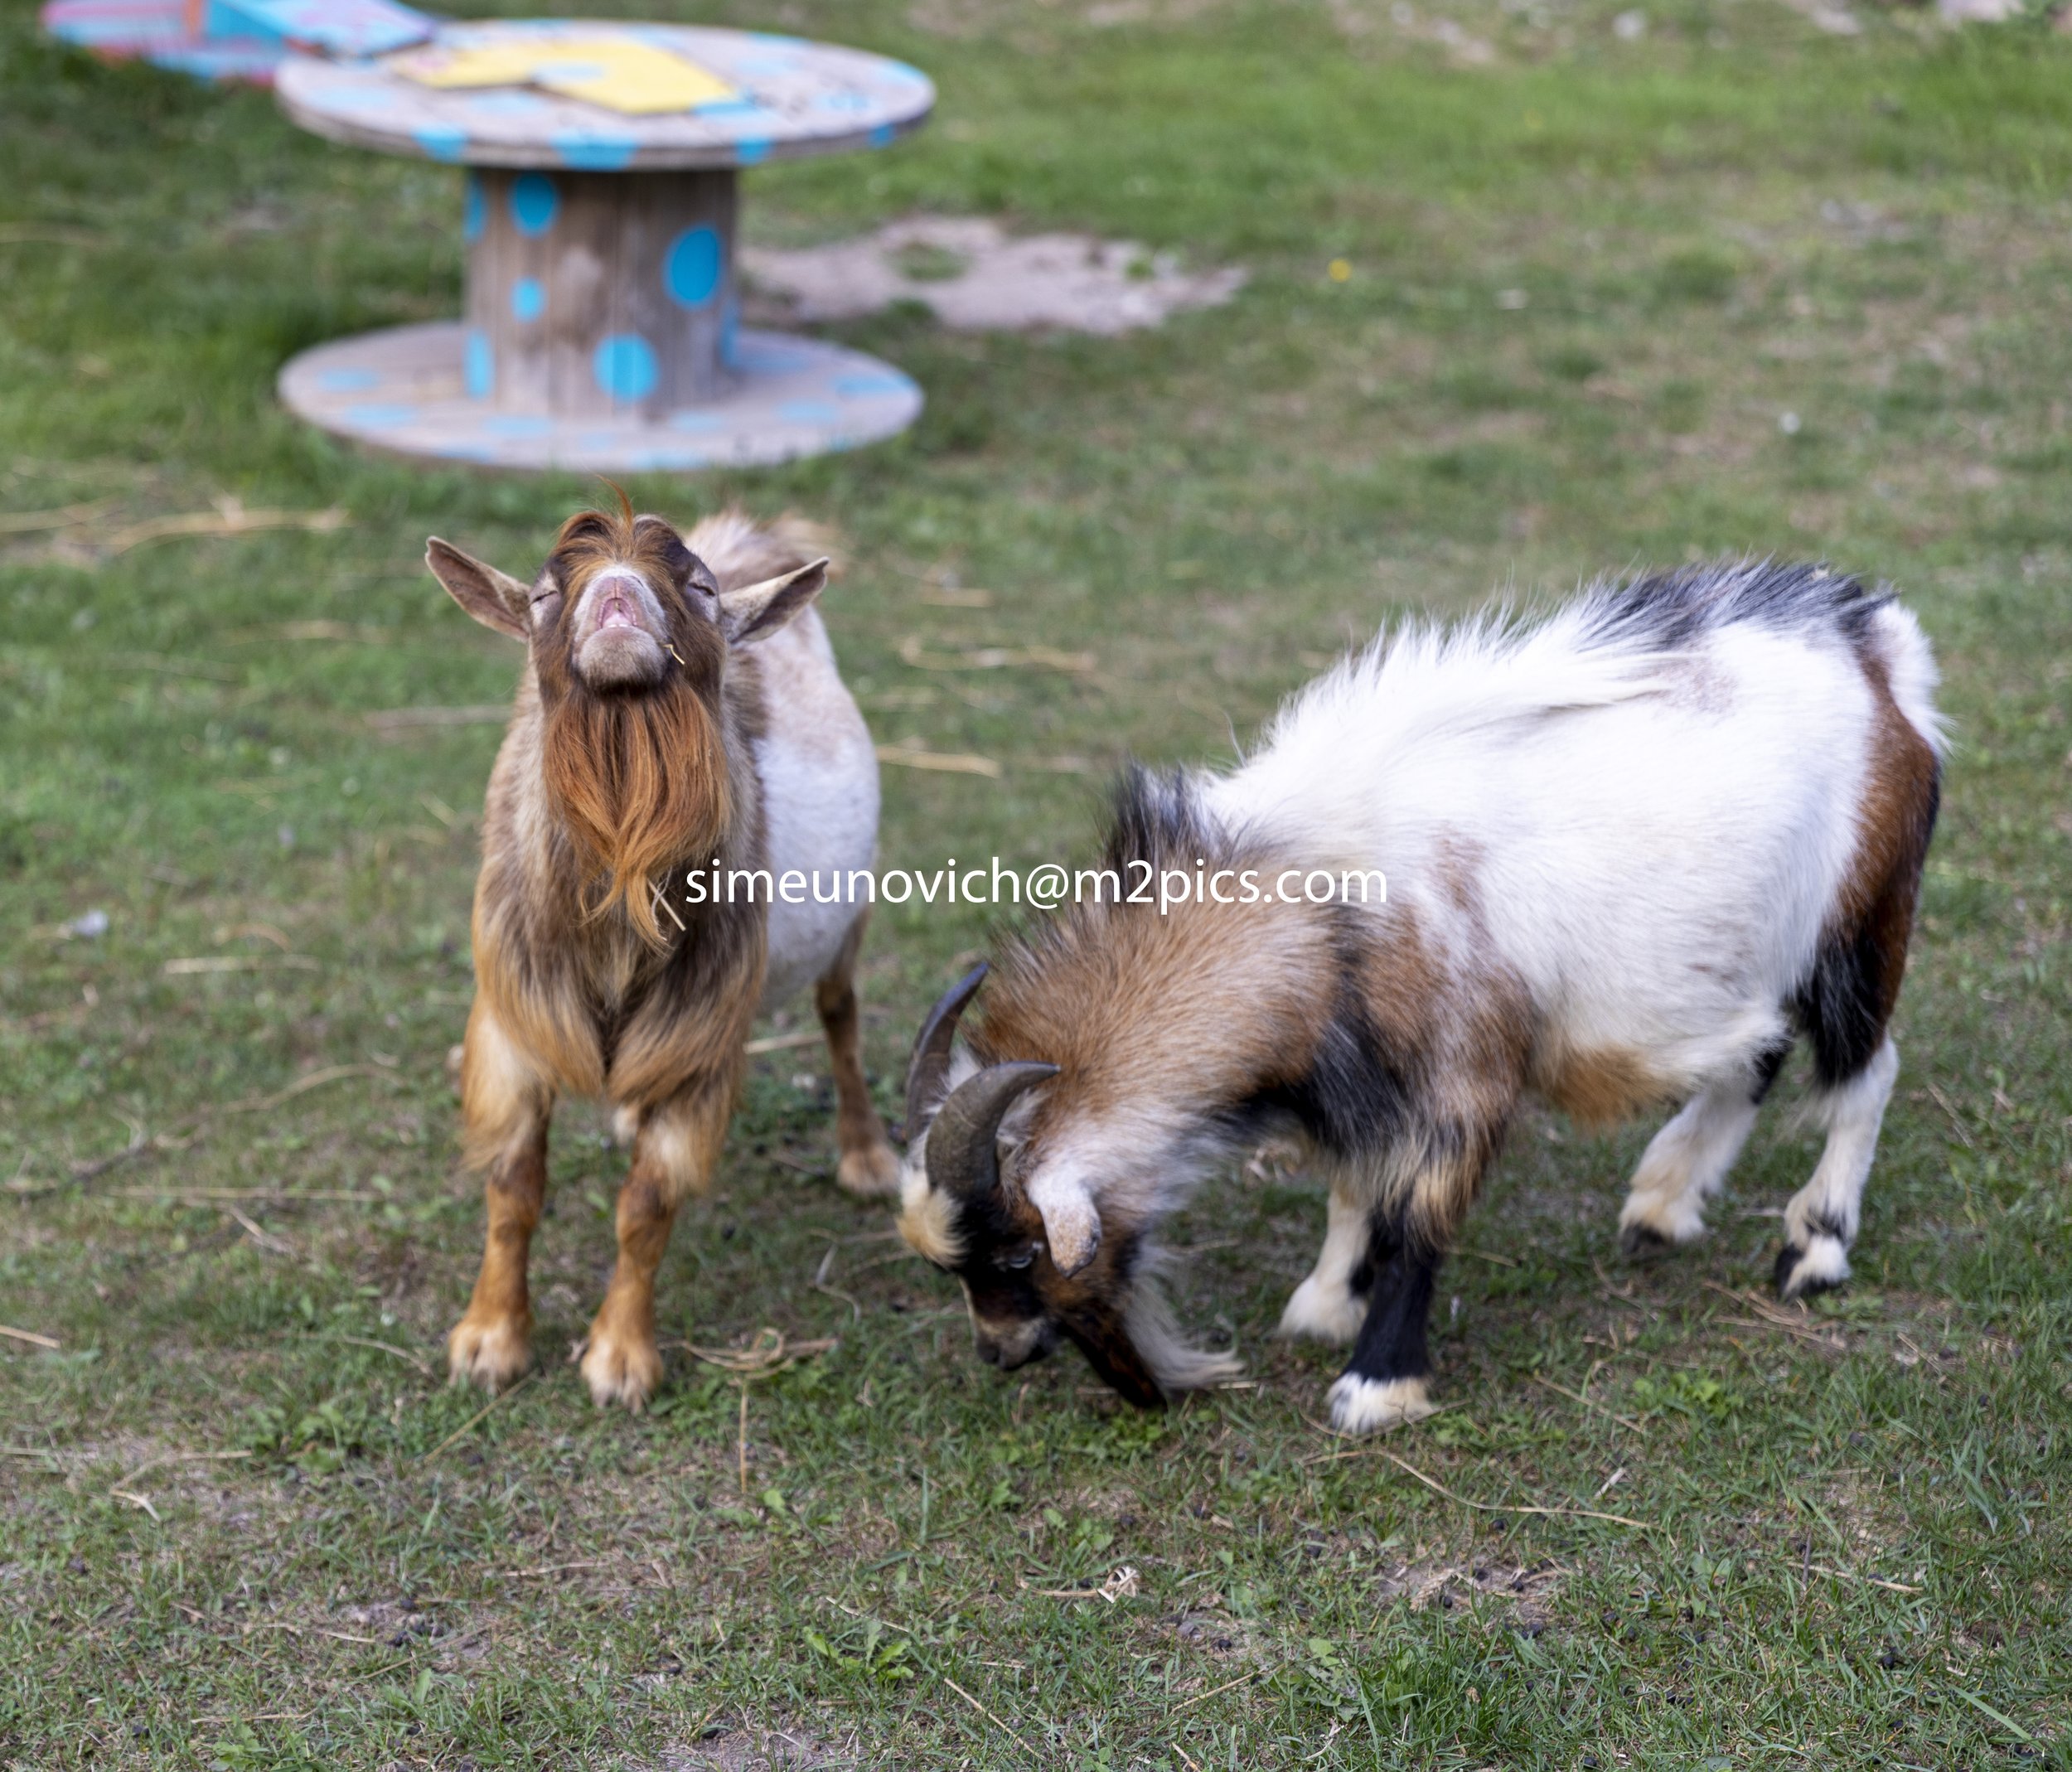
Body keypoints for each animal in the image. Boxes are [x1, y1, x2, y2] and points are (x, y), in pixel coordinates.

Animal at [426, 496, 899, 1410]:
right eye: (545, 594)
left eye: (701, 590)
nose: (616, 594)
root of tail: (746, 538)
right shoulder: (511, 1023)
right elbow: (512, 1189)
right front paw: (488, 1339)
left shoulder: (699, 1043)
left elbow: (646, 1207)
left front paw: (619, 1360)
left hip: (853, 911)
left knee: (840, 1013)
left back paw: (865, 1155)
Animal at [896, 563, 1943, 1433]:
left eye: (1017, 1254)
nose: (1003, 1351)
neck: (1320, 907)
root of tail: (1881, 655)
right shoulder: (1365, 1074)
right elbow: (1353, 1189)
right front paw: (1325, 1301)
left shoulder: (1462, 1075)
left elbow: (1416, 1218)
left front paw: (1376, 1383)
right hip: (1744, 955)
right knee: (1756, 1050)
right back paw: (1661, 1199)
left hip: (1859, 926)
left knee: (1865, 1070)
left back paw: (1812, 1248)